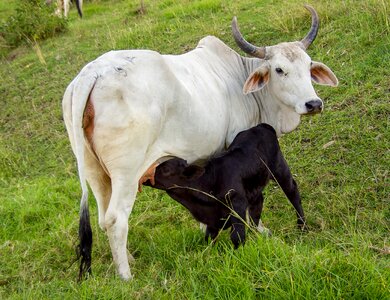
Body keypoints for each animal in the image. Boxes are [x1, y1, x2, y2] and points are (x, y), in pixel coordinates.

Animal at [62, 5, 336, 282]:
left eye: (308, 65)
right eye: (279, 70)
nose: (313, 104)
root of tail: (94, 73)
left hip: (95, 172)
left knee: (103, 218)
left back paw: (129, 259)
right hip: (126, 173)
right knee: (116, 219)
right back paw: (126, 276)